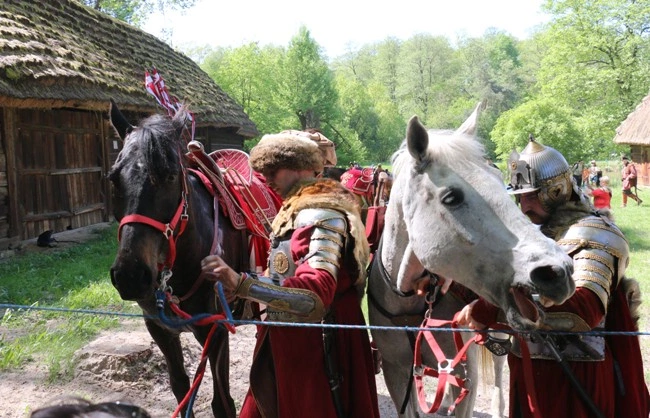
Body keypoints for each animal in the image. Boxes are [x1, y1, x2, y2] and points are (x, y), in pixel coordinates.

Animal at [109, 102, 246, 418]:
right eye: (113, 178)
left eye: (170, 176)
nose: (130, 276)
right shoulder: (160, 329)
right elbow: (181, 389)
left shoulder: (215, 331)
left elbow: (223, 403)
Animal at [364, 103, 572, 416]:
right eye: (451, 197)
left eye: (500, 182)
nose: (557, 271)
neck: (412, 302)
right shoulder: (397, 372)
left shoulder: (464, 375)